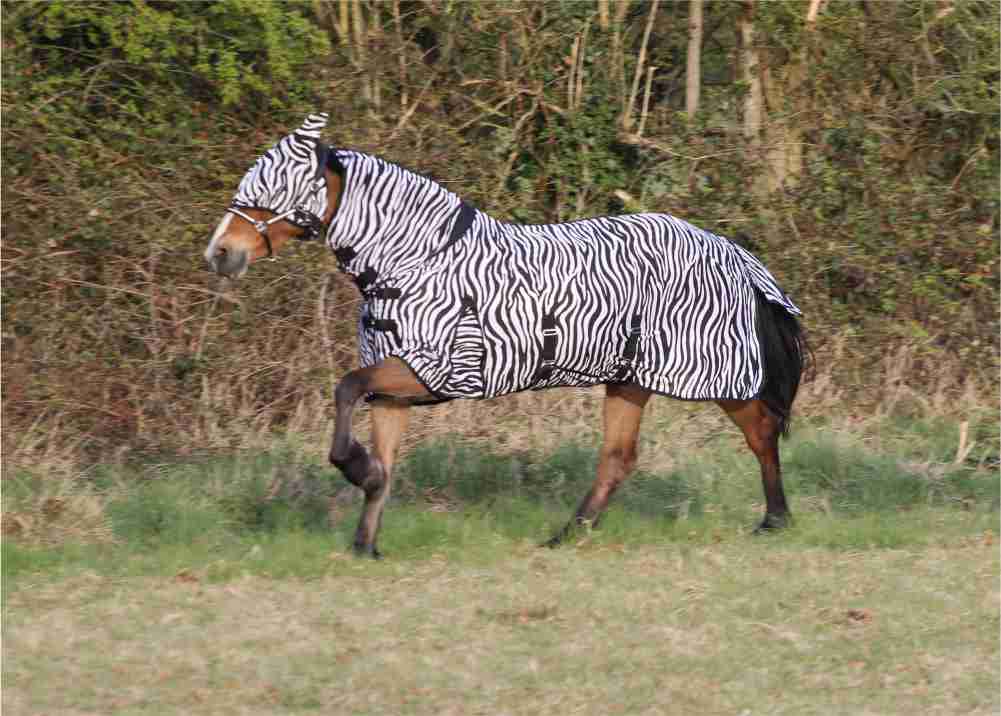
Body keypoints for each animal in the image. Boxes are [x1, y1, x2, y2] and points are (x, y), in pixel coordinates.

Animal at [205, 113, 807, 557]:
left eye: (269, 190)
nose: (220, 253)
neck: (416, 261)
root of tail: (735, 256)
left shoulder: (430, 370)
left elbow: (345, 388)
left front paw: (355, 470)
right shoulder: (394, 391)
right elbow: (383, 459)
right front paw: (365, 541)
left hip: (716, 377)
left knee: (761, 432)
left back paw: (775, 520)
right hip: (629, 378)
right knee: (618, 459)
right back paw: (566, 536)